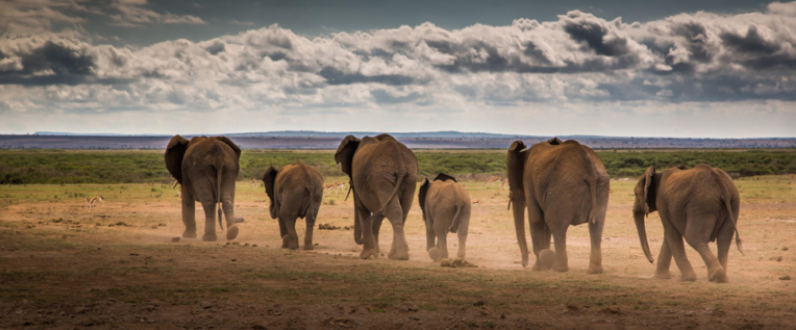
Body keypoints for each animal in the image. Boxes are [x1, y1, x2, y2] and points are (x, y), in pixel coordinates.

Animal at [506, 137, 612, 274]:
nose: (524, 264)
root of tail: (590, 171)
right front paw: (541, 264)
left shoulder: (529, 181)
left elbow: (537, 219)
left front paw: (541, 262)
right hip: (602, 184)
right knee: (596, 225)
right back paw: (595, 271)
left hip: (563, 187)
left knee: (556, 224)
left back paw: (559, 269)